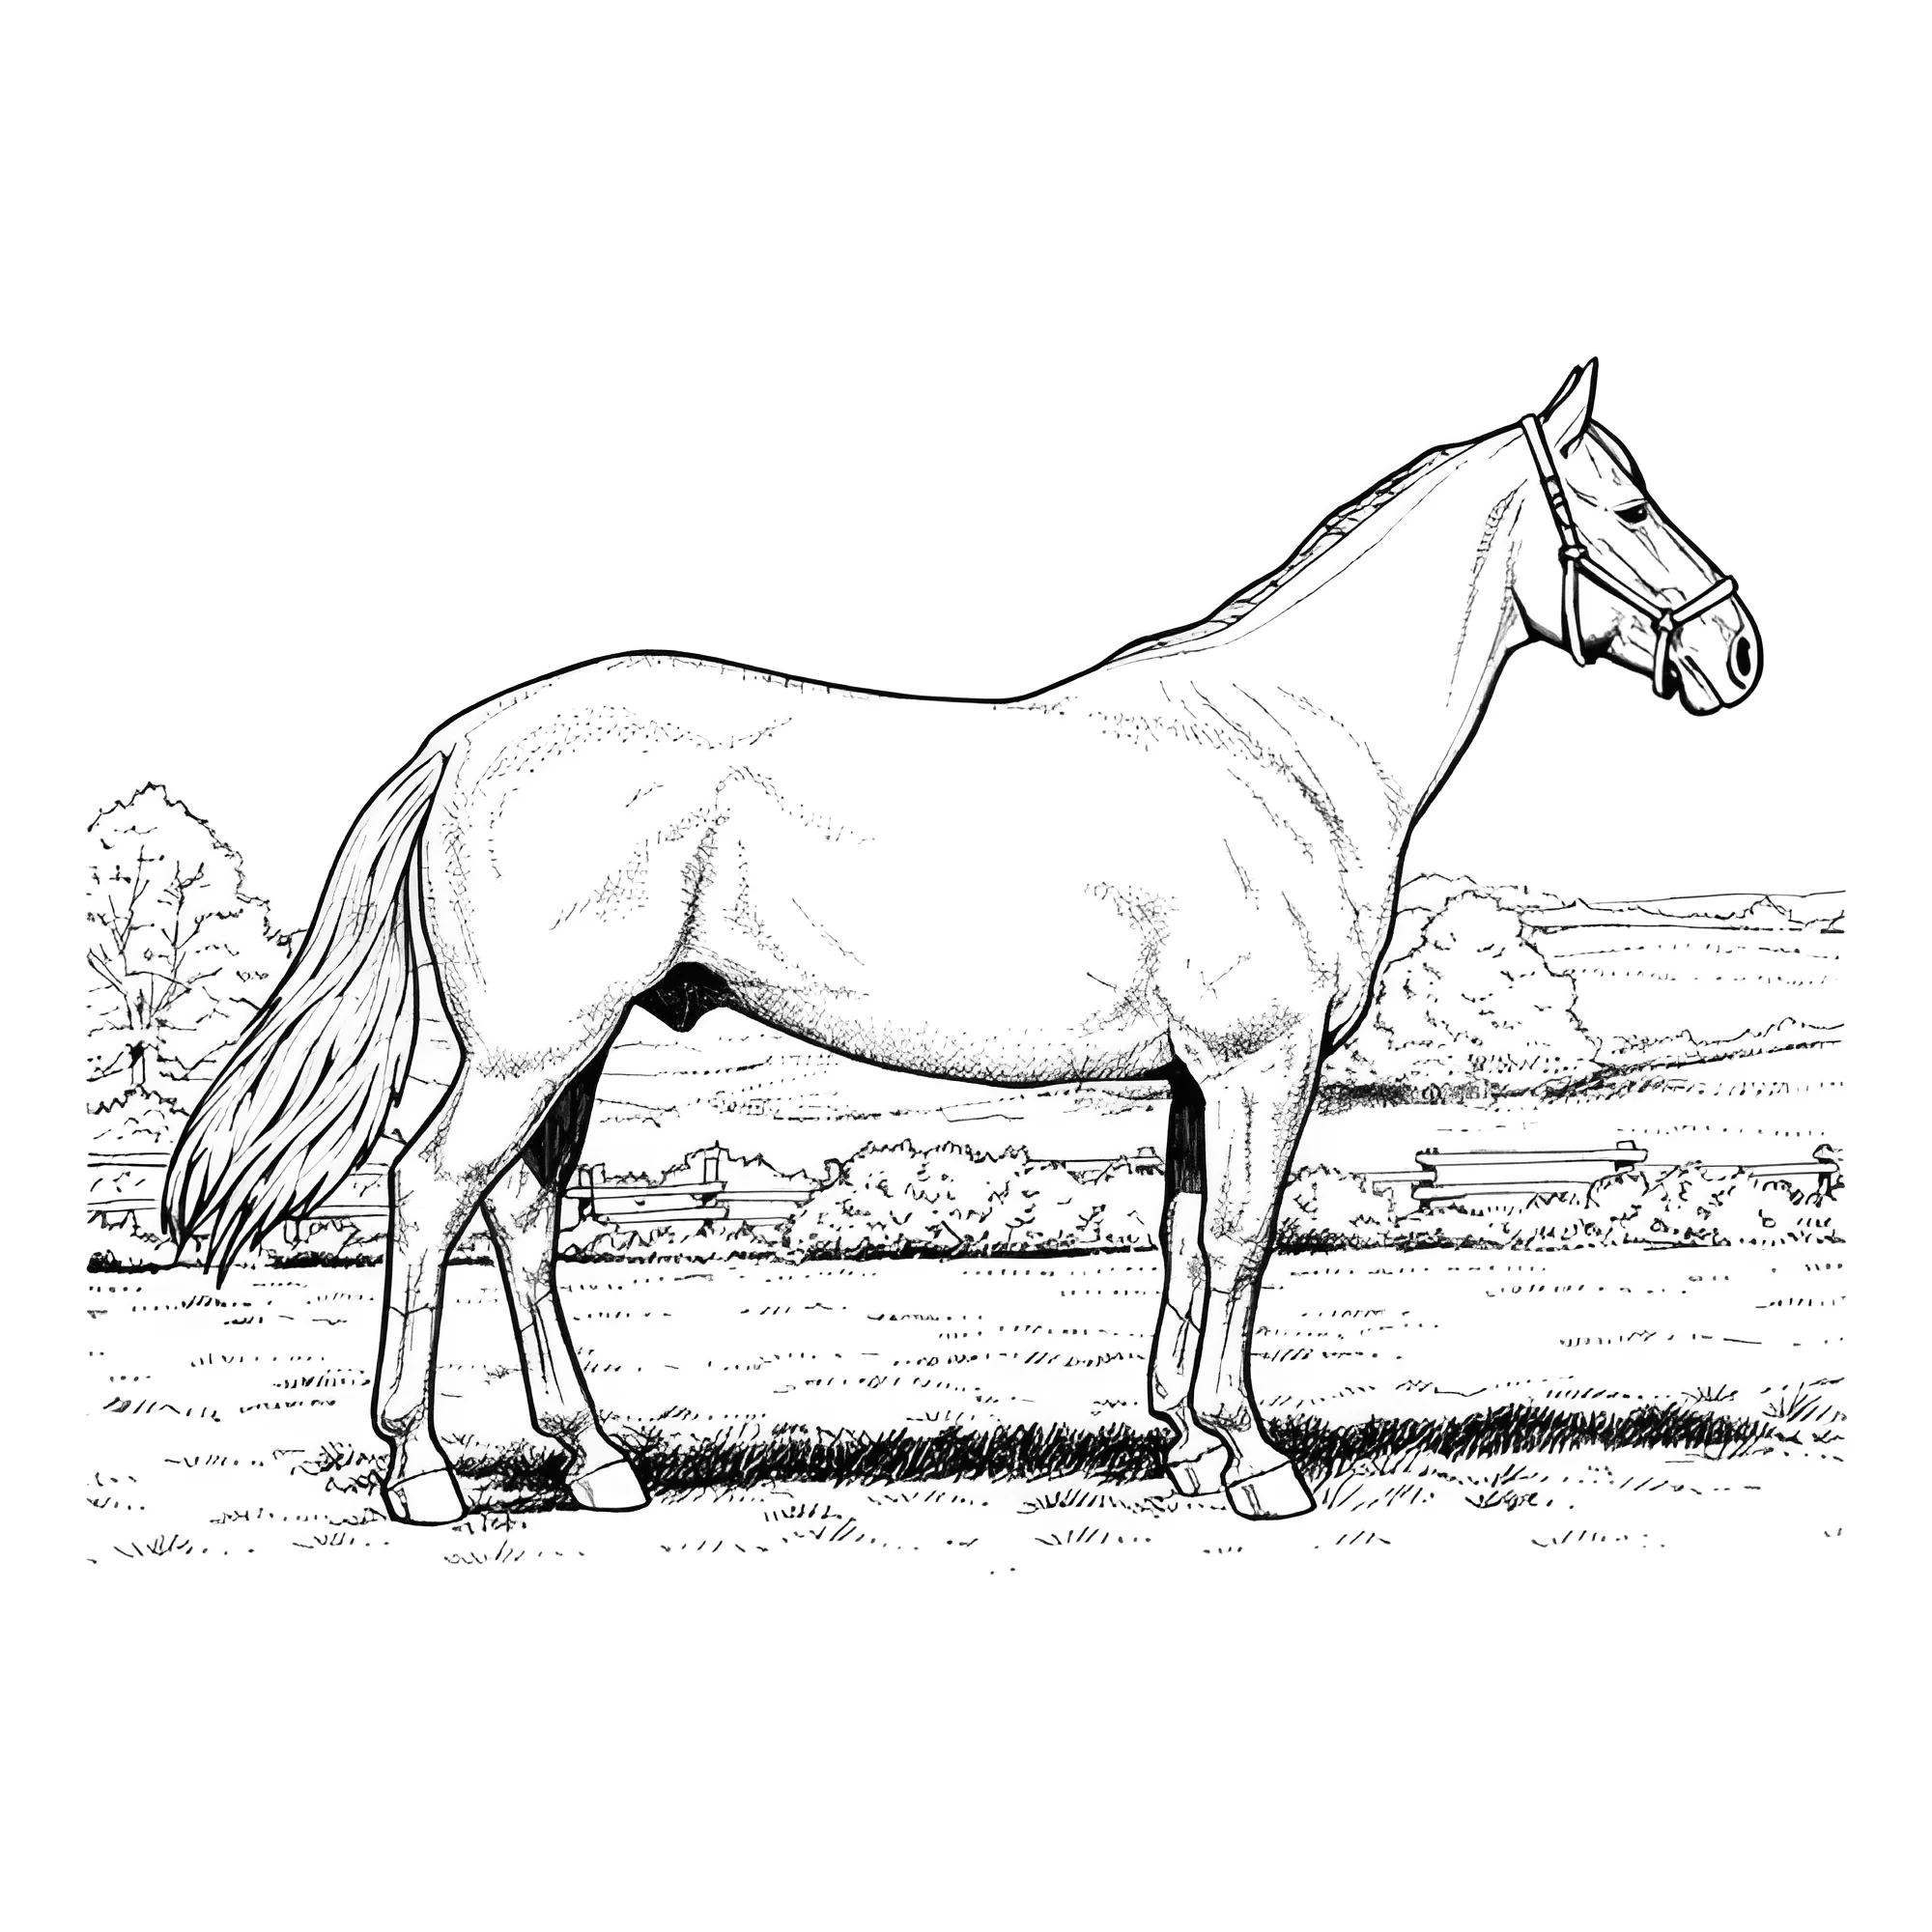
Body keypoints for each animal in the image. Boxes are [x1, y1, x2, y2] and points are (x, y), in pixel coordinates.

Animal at [164, 360, 1760, 1526]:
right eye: (1625, 507)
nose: (1738, 653)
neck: (1286, 745)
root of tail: (464, 741)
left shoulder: (1198, 1077)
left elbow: (1183, 1241)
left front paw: (1186, 1445)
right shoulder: (1261, 1060)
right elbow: (1244, 1243)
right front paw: (1258, 1466)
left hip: (573, 1048)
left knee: (522, 1218)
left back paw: (601, 1465)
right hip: (530, 1045)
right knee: (431, 1192)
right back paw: (423, 1475)